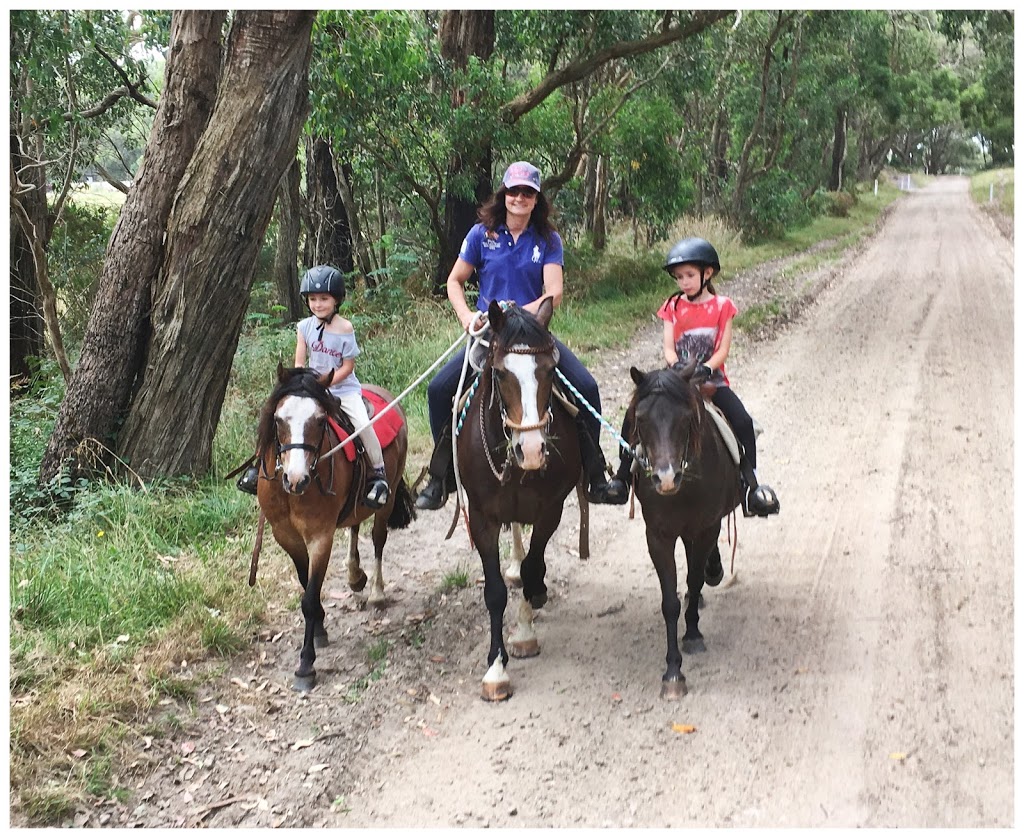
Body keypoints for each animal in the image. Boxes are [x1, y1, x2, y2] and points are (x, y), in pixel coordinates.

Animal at [256, 362, 415, 688]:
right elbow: (306, 585)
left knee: (378, 538)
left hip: (389, 495)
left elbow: (309, 596)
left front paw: (306, 665)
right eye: (278, 419)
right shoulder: (285, 536)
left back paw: (377, 592)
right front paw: (319, 628)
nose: (296, 479)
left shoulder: (320, 537)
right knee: (354, 527)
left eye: (320, 420)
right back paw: (355, 576)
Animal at [458, 299, 585, 700]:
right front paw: (495, 670)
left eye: (551, 370)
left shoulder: (551, 511)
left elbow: (533, 565)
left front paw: (525, 634)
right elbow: (495, 591)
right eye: (499, 374)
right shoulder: (482, 518)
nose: (530, 450)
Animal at [622, 362, 745, 696]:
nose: (666, 478)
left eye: (686, 418)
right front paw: (673, 674)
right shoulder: (658, 536)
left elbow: (693, 579)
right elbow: (670, 602)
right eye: (640, 418)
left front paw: (692, 635)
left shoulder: (705, 528)